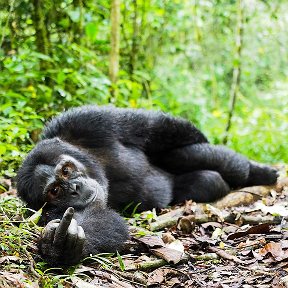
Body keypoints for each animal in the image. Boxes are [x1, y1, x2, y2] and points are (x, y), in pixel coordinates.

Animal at [16, 105, 278, 266]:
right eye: (55, 191)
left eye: (66, 170)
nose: (74, 188)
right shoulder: (49, 213)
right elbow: (100, 219)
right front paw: (63, 245)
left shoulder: (86, 121)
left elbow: (154, 127)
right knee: (208, 181)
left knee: (183, 154)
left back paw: (258, 173)